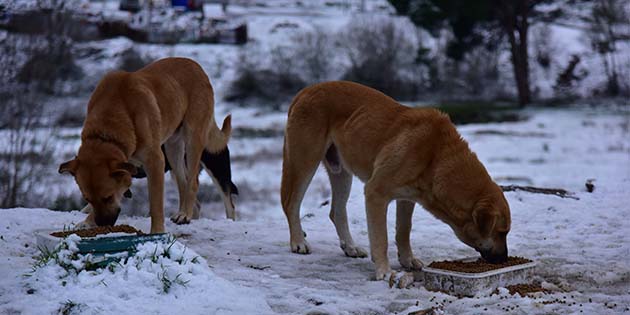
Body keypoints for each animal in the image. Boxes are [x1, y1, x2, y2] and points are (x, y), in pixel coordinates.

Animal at [59, 58, 230, 233]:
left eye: (108, 197)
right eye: (88, 198)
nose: (102, 224)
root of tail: (197, 66)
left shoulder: (155, 161)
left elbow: (155, 205)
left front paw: (157, 232)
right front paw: (87, 221)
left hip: (192, 140)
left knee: (193, 183)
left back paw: (185, 214)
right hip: (172, 148)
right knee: (183, 182)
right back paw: (181, 213)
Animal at [282, 81, 512, 282]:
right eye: (501, 232)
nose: (505, 259)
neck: (436, 157)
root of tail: (306, 90)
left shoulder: (407, 198)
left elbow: (404, 230)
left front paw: (407, 259)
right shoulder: (375, 193)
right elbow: (381, 238)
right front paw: (384, 271)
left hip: (341, 172)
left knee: (336, 211)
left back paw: (350, 247)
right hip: (304, 162)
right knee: (291, 204)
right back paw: (298, 242)